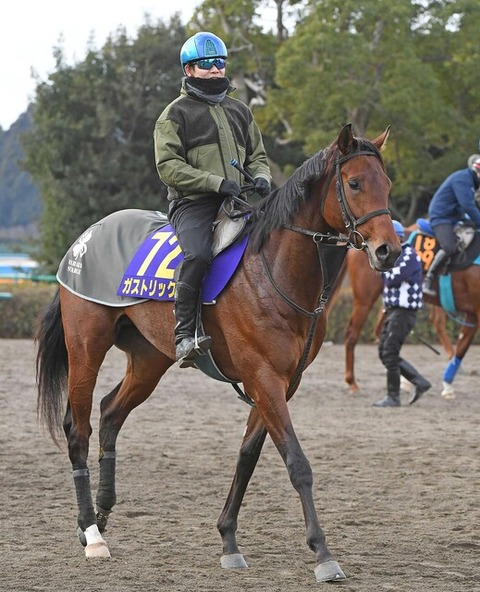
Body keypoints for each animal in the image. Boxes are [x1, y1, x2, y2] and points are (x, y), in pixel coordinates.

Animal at [34, 125, 402, 584]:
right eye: (354, 183)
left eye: (387, 183)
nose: (390, 250)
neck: (272, 271)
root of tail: (85, 238)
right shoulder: (264, 378)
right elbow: (297, 462)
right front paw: (322, 552)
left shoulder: (281, 383)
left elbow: (247, 457)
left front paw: (228, 539)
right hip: (86, 347)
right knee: (78, 428)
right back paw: (91, 532)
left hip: (149, 360)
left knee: (110, 412)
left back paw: (100, 515)